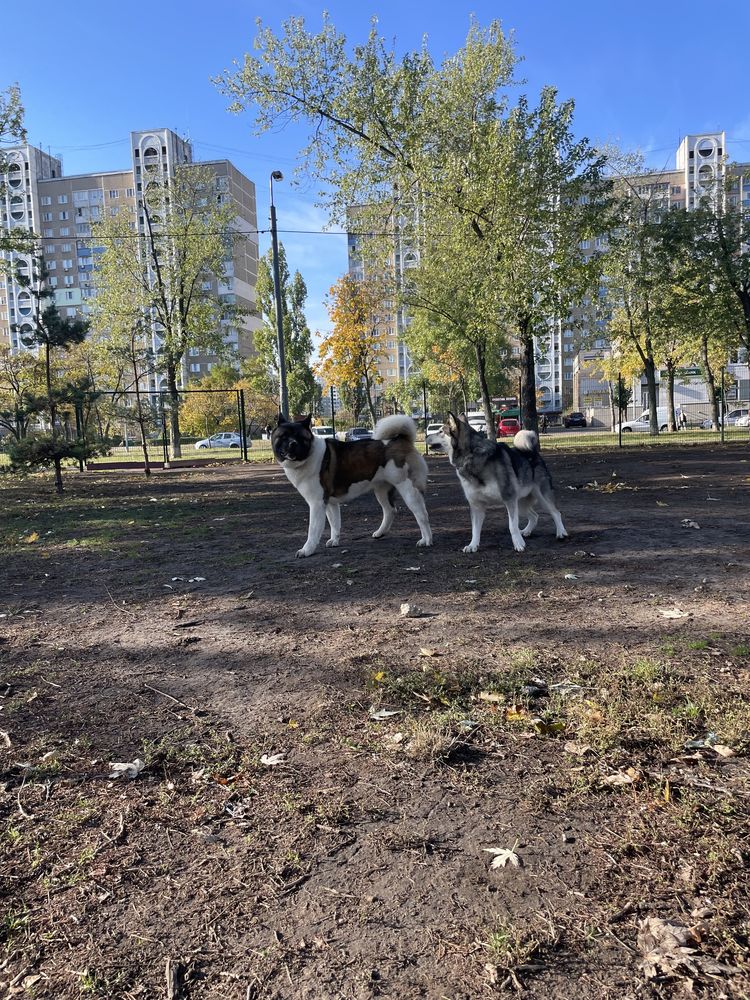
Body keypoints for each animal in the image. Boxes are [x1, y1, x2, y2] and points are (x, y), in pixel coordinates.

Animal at [274, 412, 434, 556]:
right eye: (284, 437)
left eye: (300, 437)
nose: (292, 443)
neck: (309, 455)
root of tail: (401, 439)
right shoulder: (330, 503)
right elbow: (335, 523)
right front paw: (334, 540)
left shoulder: (316, 503)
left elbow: (313, 530)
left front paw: (306, 550)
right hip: (381, 490)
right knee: (390, 510)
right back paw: (380, 533)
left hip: (408, 489)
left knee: (422, 514)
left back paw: (426, 540)